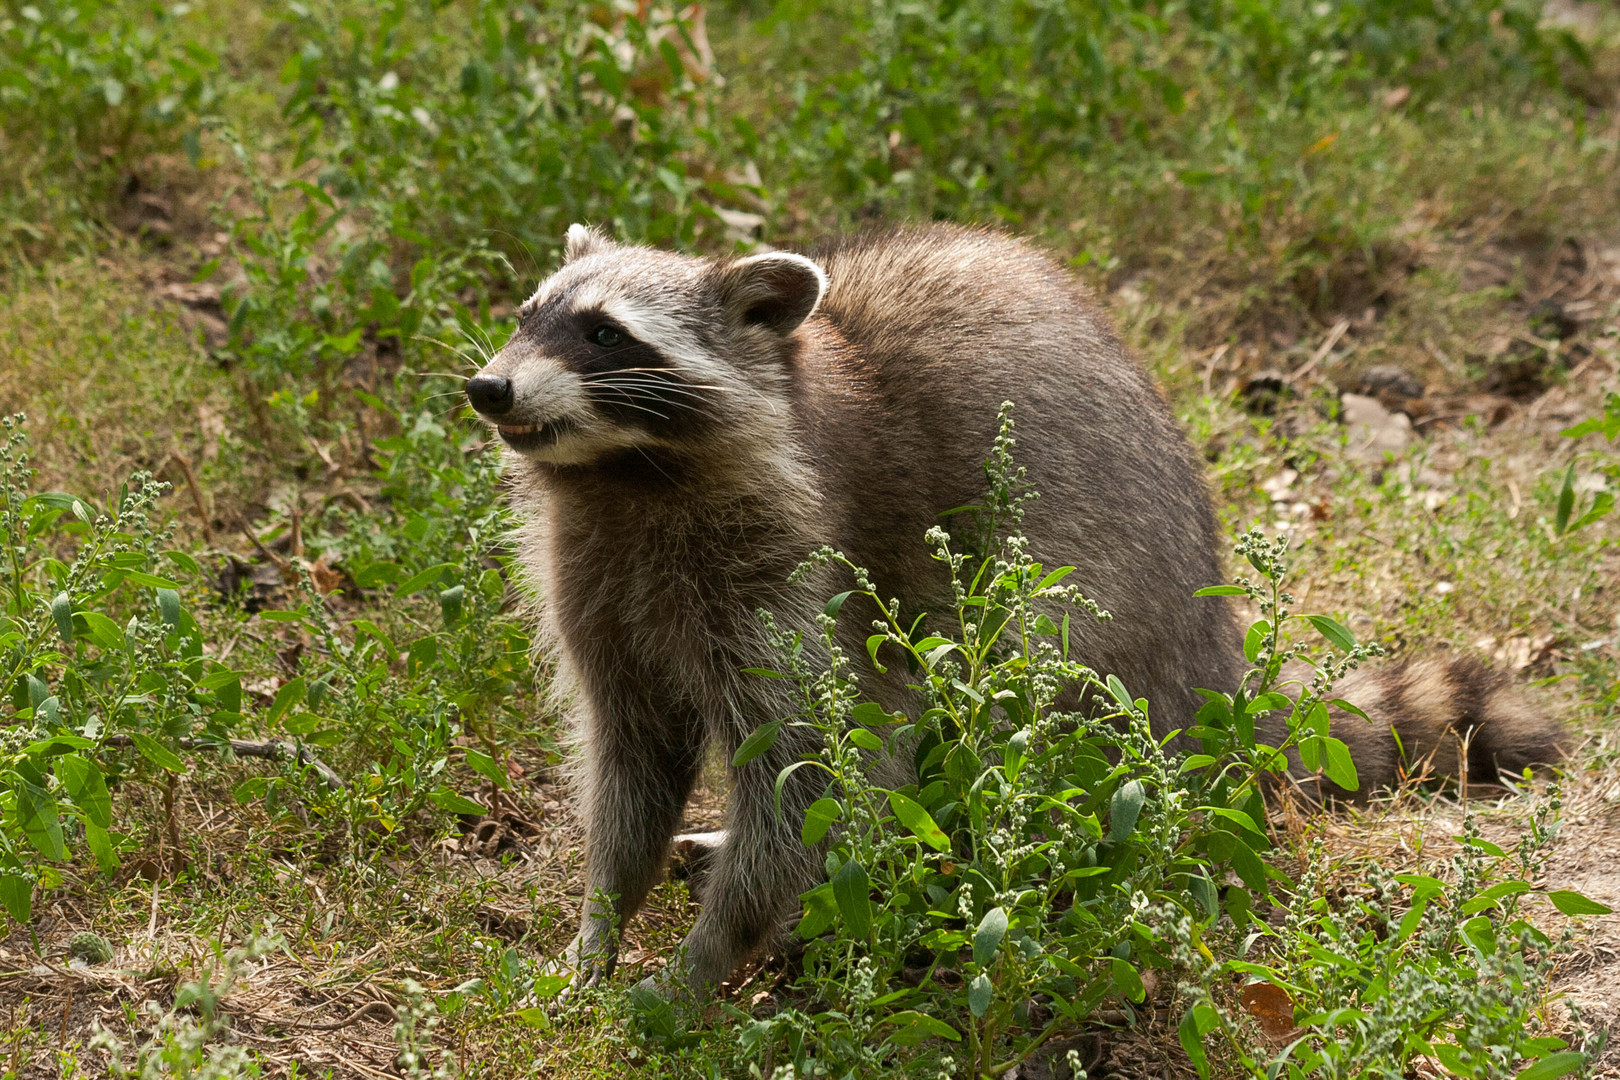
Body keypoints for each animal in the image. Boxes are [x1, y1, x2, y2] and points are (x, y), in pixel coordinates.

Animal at [463, 223, 1561, 1003]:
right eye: (528, 311)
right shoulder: (601, 581)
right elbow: (630, 762)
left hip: (1100, 635)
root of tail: (1215, 670)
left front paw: (705, 958)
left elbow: (823, 770)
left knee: (1013, 718)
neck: (623, 476)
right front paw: (602, 921)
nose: (487, 387)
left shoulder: (801, 574)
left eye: (605, 334)